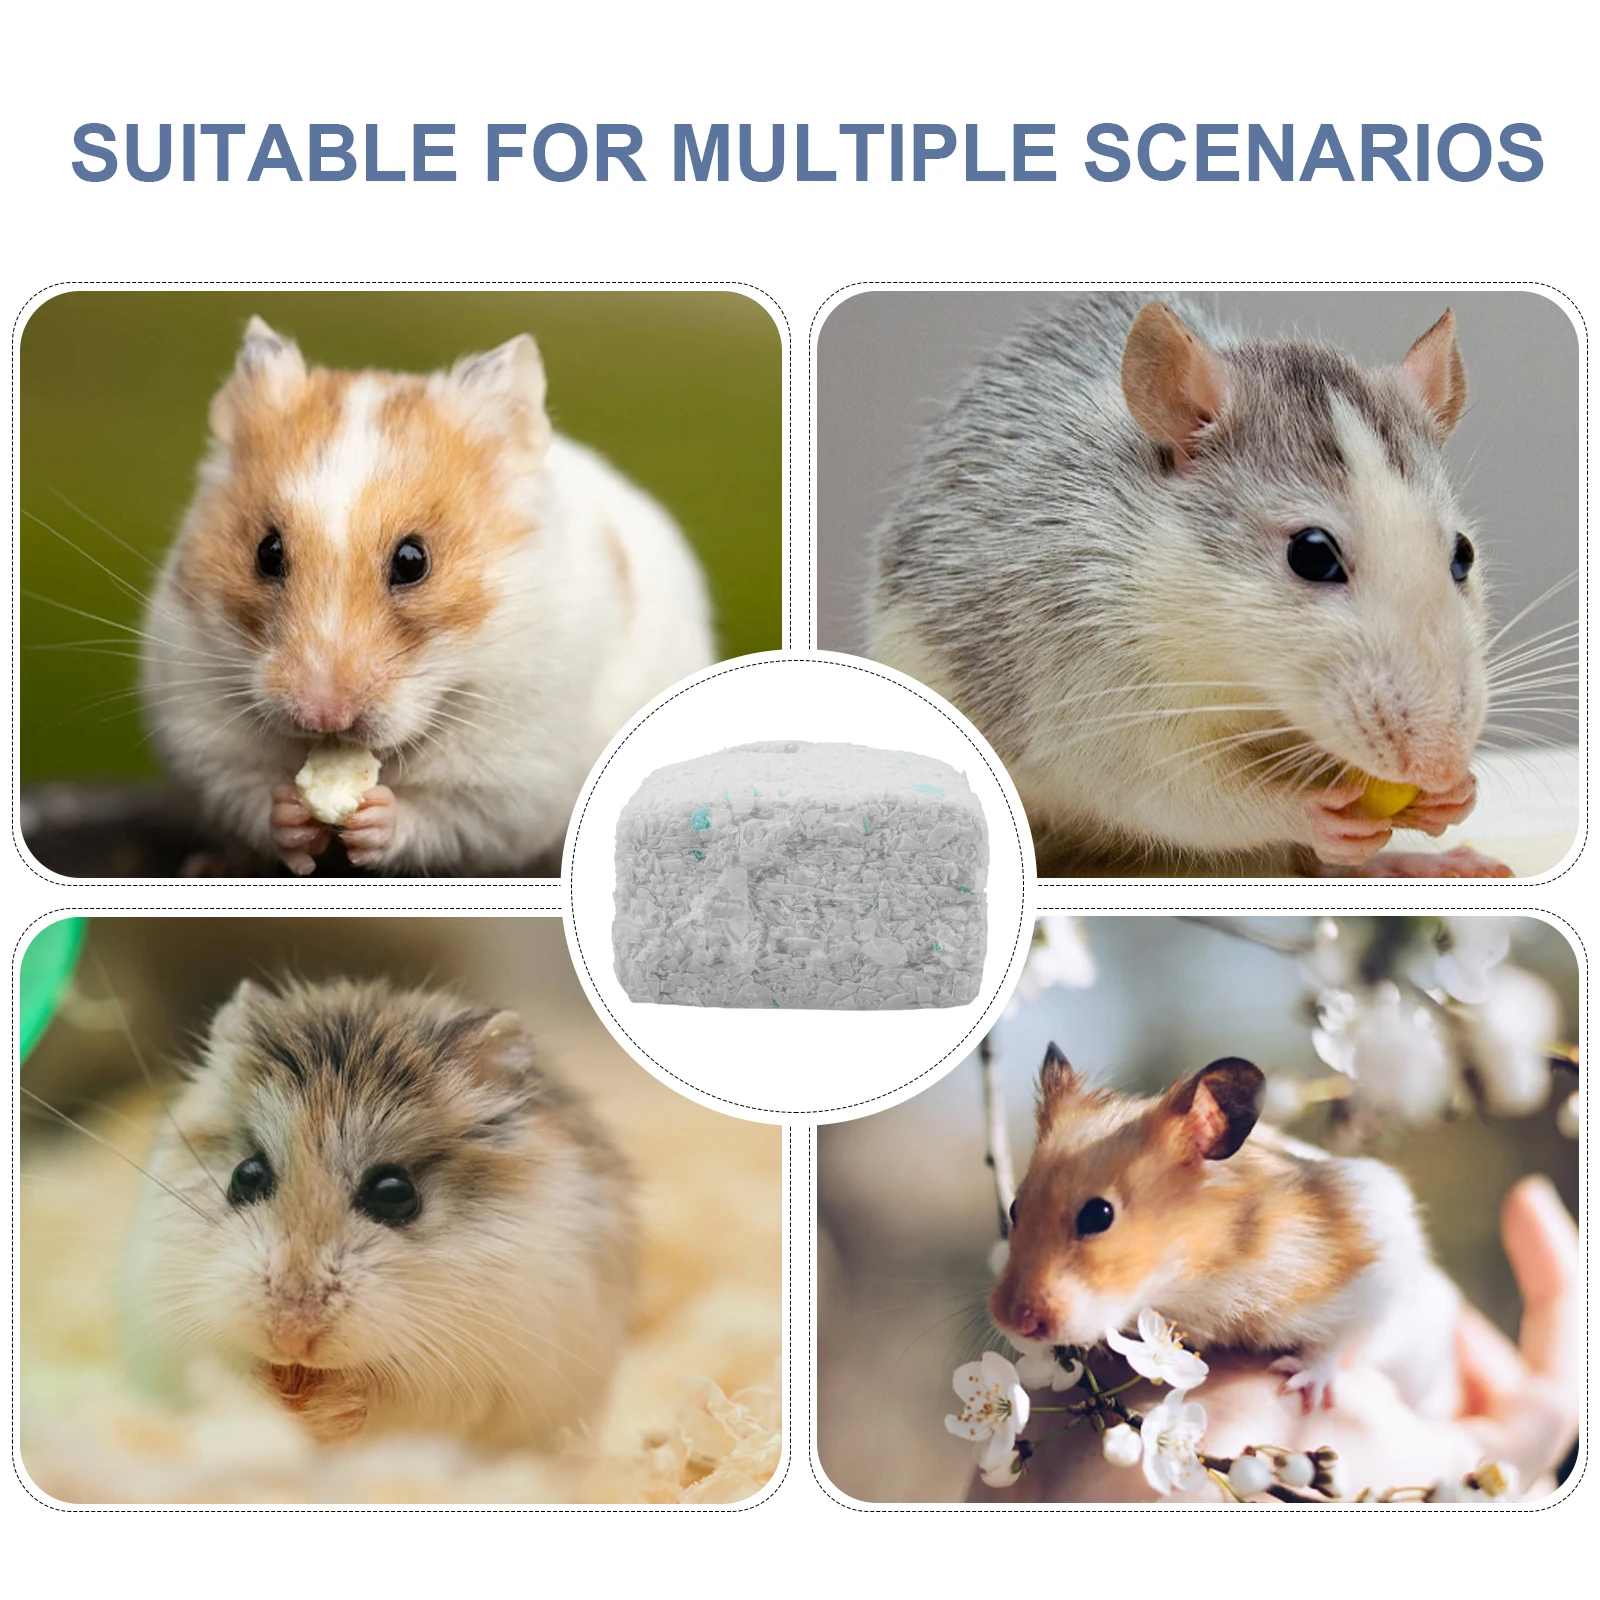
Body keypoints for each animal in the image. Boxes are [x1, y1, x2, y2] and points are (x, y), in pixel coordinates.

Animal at [121, 978, 636, 1449]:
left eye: (394, 1194)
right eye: (246, 1176)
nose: (290, 1338)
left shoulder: (473, 1373)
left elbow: (389, 1400)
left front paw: (326, 1410)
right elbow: (218, 1374)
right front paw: (270, 1397)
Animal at [141, 317, 714, 875]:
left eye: (413, 561)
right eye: (267, 551)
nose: (323, 717)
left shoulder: (511, 778)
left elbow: (442, 818)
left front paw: (373, 817)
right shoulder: (203, 733)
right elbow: (248, 794)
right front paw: (292, 814)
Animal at [866, 293, 1509, 879]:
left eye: (1463, 555)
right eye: (1312, 554)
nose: (1439, 764)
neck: (1246, 687)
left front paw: (1457, 795)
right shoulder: (1092, 670)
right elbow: (1170, 793)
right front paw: (1309, 813)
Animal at [989, 1046, 1460, 1417]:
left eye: (1098, 1215)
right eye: (1014, 1208)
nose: (1013, 1322)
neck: (1198, 1275)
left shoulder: (1377, 1268)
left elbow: (1341, 1342)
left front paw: (1300, 1385)